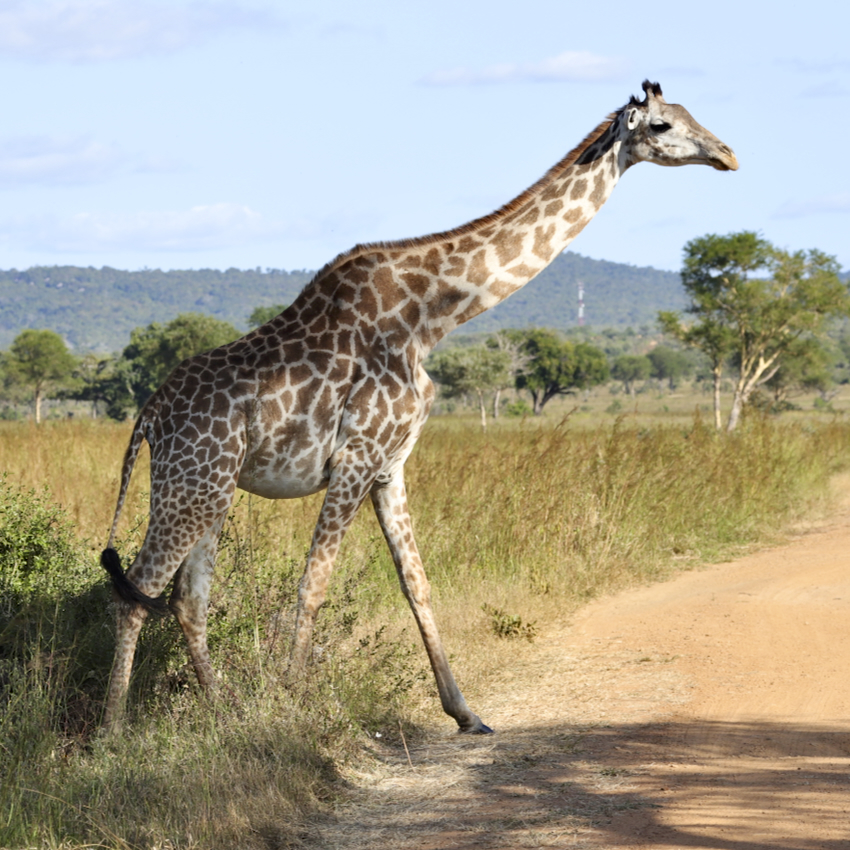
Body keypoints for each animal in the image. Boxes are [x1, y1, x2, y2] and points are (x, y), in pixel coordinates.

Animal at [101, 81, 736, 728]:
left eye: (688, 114)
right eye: (661, 125)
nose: (728, 155)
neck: (431, 319)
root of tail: (148, 416)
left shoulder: (390, 466)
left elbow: (417, 582)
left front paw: (465, 712)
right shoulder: (355, 459)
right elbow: (314, 582)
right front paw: (292, 705)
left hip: (211, 488)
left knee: (186, 598)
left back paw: (221, 710)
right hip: (193, 482)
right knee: (137, 589)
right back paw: (113, 729)